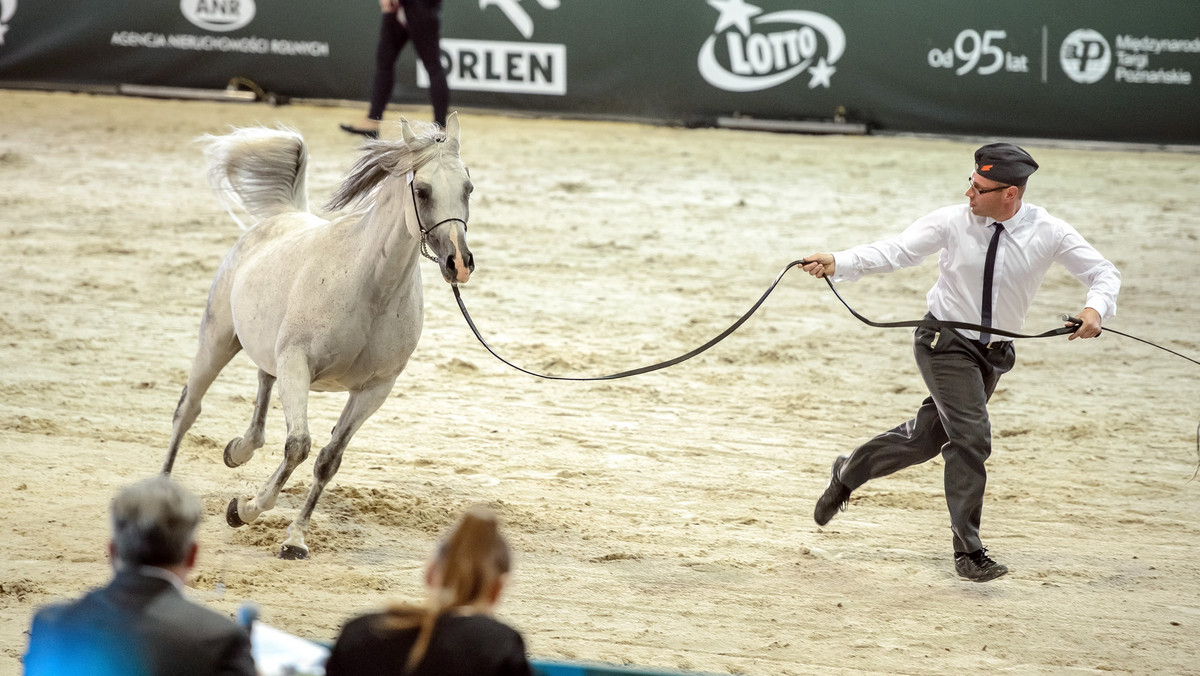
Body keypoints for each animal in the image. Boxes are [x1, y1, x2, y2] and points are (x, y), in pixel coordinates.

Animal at [164, 112, 472, 561]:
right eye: (422, 189)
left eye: (468, 187)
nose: (458, 263)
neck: (370, 287)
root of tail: (281, 217)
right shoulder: (298, 365)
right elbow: (298, 445)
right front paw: (245, 509)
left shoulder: (375, 389)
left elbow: (328, 459)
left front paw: (294, 539)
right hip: (217, 340)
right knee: (187, 410)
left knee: (262, 387)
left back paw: (238, 449)